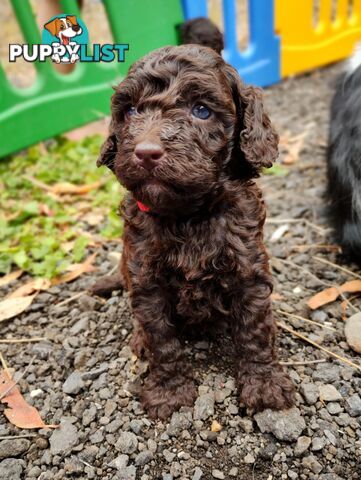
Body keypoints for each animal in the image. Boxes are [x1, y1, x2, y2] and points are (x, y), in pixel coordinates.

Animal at [97, 46, 294, 420]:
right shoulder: (147, 281)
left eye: (201, 110)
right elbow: (162, 339)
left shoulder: (249, 271)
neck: (189, 215)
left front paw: (264, 385)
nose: (145, 152)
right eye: (130, 111)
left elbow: (255, 330)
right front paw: (169, 392)